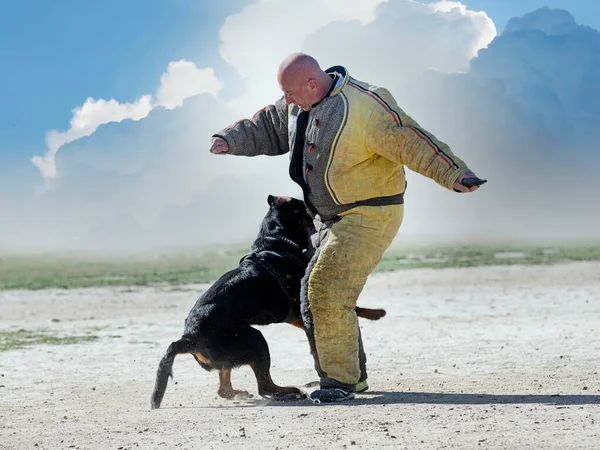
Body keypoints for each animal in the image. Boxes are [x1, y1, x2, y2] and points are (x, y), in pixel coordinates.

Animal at [150, 194, 384, 408]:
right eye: (302, 203)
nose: (318, 211)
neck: (276, 242)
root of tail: (189, 337)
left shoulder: (294, 315)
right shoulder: (302, 304)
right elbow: (353, 306)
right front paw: (376, 313)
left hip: (232, 352)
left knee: (225, 388)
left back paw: (241, 393)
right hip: (256, 341)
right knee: (264, 386)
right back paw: (291, 392)